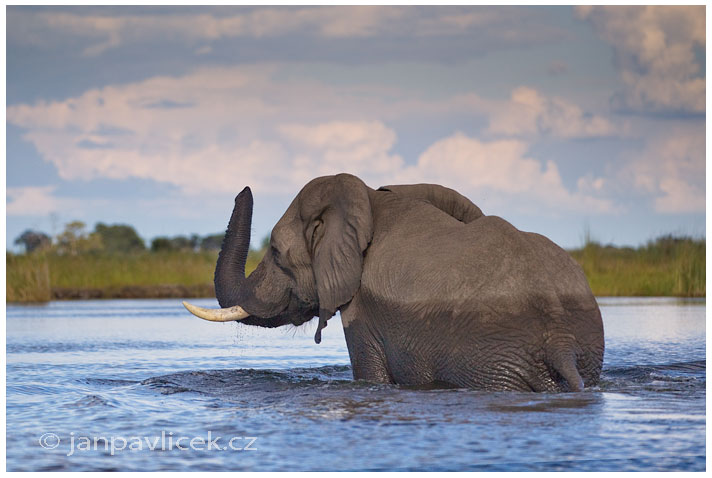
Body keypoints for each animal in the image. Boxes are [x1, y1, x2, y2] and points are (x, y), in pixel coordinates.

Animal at [182, 174, 600, 390]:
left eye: (275, 251)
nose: (244, 187)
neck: (370, 200)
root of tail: (560, 342)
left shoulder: (364, 309)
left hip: (494, 358)